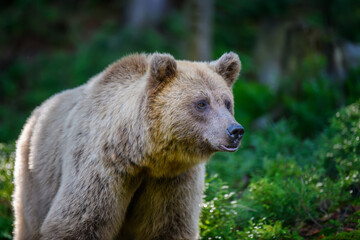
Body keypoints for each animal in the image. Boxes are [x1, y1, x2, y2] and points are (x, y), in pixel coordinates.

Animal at [14, 52, 245, 240]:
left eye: (227, 102)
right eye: (201, 103)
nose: (235, 131)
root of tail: (37, 111)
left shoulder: (172, 180)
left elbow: (169, 226)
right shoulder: (101, 169)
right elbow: (77, 222)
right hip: (36, 175)